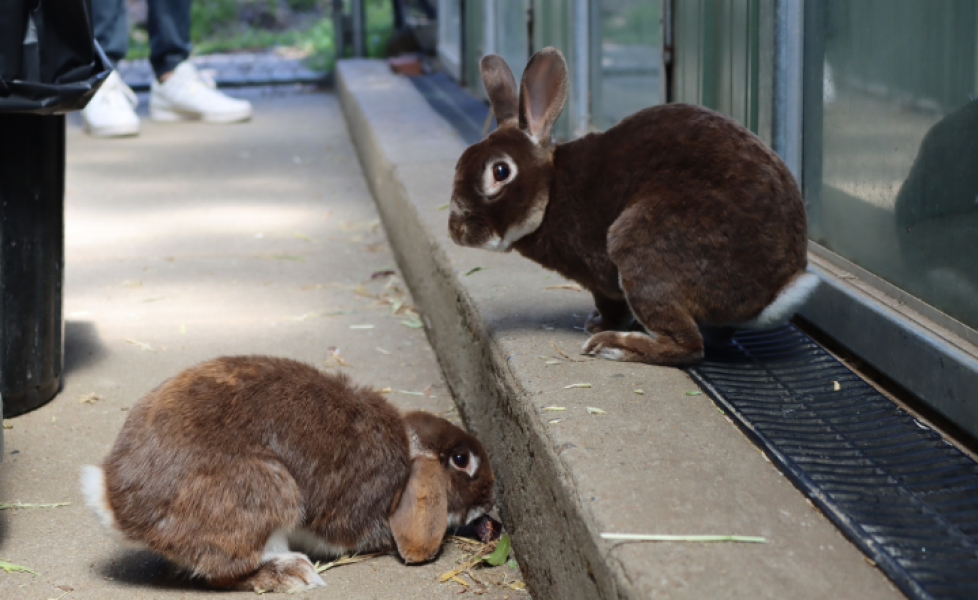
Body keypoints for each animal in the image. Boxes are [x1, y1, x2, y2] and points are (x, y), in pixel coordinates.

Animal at [80, 355, 495, 593]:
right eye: (462, 460)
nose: (490, 499)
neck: (409, 455)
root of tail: (117, 505)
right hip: (268, 493)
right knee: (226, 571)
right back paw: (291, 575)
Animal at [448, 47, 819, 366]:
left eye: (500, 171)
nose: (456, 229)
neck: (552, 190)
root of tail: (773, 290)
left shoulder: (600, 280)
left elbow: (610, 304)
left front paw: (598, 325)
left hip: (640, 244)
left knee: (687, 345)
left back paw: (611, 345)